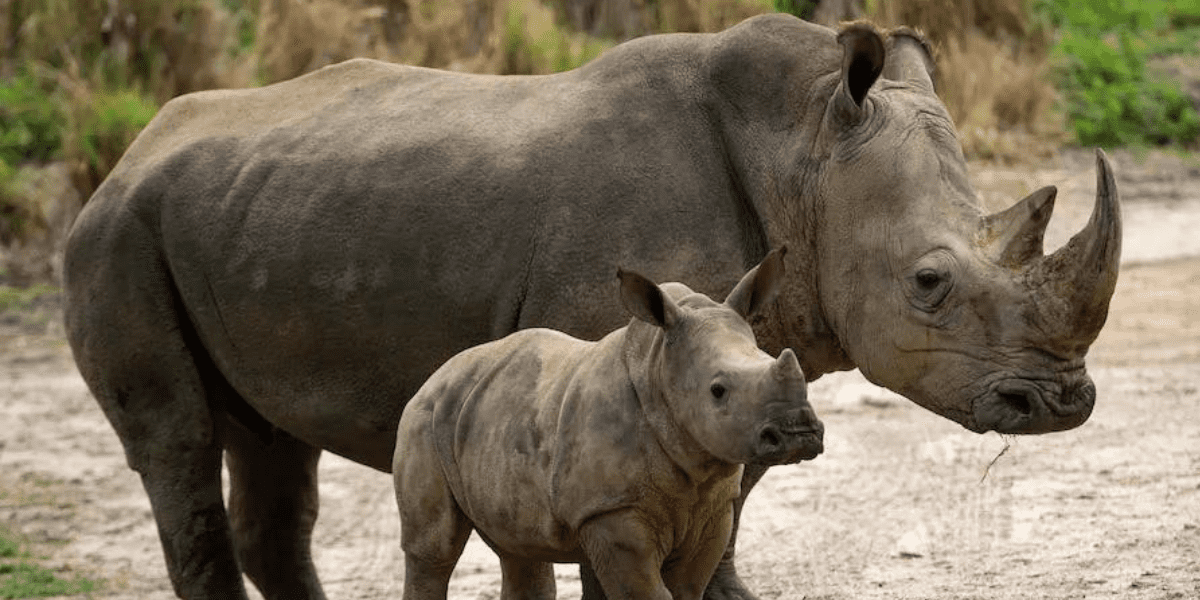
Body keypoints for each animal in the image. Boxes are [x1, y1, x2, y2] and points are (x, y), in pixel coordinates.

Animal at [395, 249, 822, 600]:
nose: (799, 433)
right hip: (422, 421)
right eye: (717, 391)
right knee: (432, 550)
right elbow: (646, 593)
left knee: (517, 548)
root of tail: (437, 375)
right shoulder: (610, 510)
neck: (659, 369)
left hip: (489, 421)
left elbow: (687, 589)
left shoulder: (714, 506)